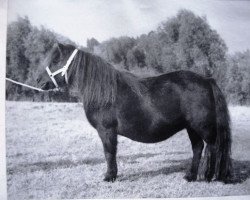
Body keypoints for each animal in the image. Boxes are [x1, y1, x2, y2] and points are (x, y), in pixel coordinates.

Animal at [37, 43, 232, 183]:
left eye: (55, 61)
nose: (39, 80)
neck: (104, 92)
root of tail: (207, 80)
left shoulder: (106, 130)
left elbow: (109, 152)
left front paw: (109, 177)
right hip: (192, 128)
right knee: (198, 148)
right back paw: (190, 176)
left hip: (203, 127)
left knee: (213, 147)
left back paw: (208, 177)